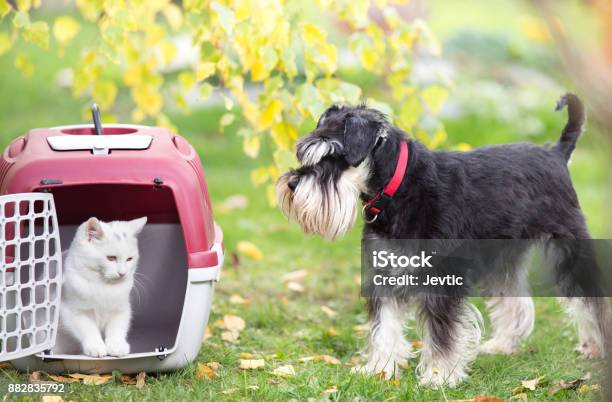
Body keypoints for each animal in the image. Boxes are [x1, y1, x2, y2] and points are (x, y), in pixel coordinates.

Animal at [58, 217, 147, 358]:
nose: (122, 273)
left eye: (129, 259)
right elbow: (89, 329)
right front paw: (96, 347)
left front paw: (117, 346)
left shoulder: (120, 309)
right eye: (111, 258)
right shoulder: (74, 311)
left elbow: (116, 328)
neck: (104, 284)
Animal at [276, 93, 608, 386]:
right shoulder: (382, 274)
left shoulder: (442, 280)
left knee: (591, 298)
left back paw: (597, 346)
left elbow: (442, 335)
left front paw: (439, 377)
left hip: (568, 247)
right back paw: (502, 345)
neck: (400, 187)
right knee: (514, 301)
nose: (291, 184)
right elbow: (383, 327)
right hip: (503, 257)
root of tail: (556, 153)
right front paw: (379, 369)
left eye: (333, 155)